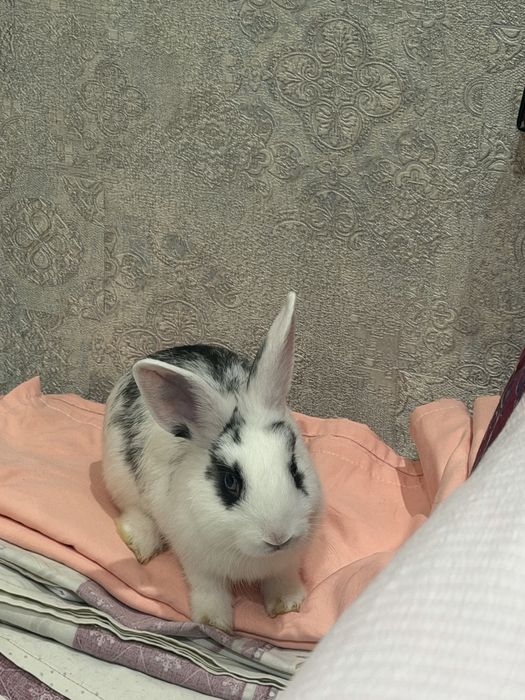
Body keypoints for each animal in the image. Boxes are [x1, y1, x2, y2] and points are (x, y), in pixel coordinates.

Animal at [102, 292, 322, 632]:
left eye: (294, 469)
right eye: (230, 482)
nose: (278, 536)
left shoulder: (288, 561)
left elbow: (282, 578)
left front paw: (288, 605)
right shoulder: (196, 559)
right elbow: (209, 588)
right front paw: (214, 623)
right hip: (119, 477)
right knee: (135, 511)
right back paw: (140, 544)